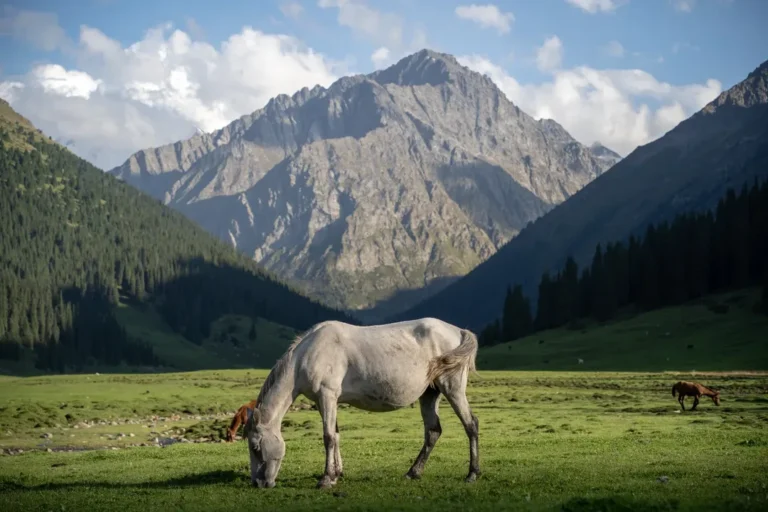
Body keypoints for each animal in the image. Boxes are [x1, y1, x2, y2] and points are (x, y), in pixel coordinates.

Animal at [242, 317, 481, 490]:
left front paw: (326, 479)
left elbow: (328, 437)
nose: (259, 483)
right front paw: (337, 474)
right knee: (433, 431)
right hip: (430, 394)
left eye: (255, 447)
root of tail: (459, 331)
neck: (307, 355)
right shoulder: (328, 401)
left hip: (452, 388)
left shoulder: (327, 397)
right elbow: (336, 435)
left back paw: (472, 473)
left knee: (471, 425)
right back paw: (413, 472)